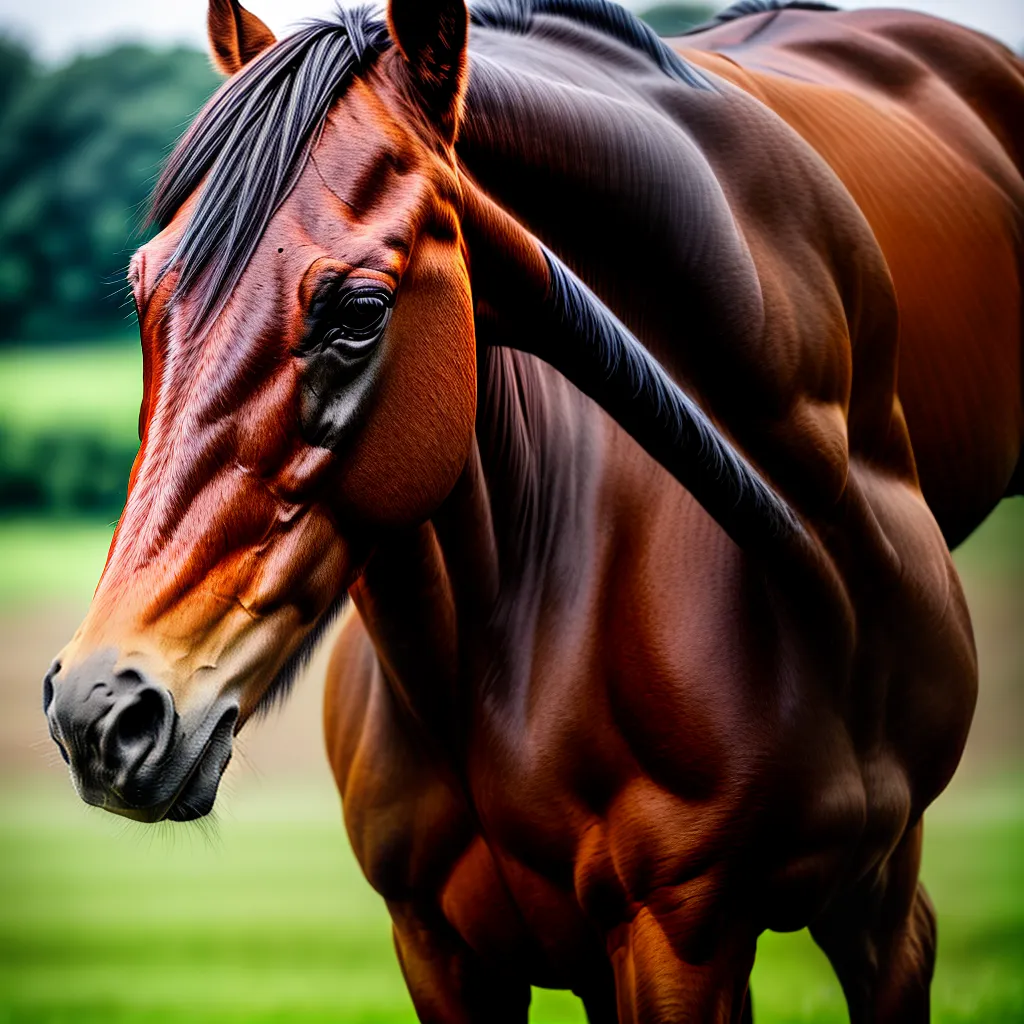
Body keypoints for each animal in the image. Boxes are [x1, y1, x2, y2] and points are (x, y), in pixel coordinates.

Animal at [42, 0, 1022, 1019]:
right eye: (146, 291)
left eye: (359, 312)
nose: (100, 710)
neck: (813, 555)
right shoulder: (443, 949)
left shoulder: (796, 920)